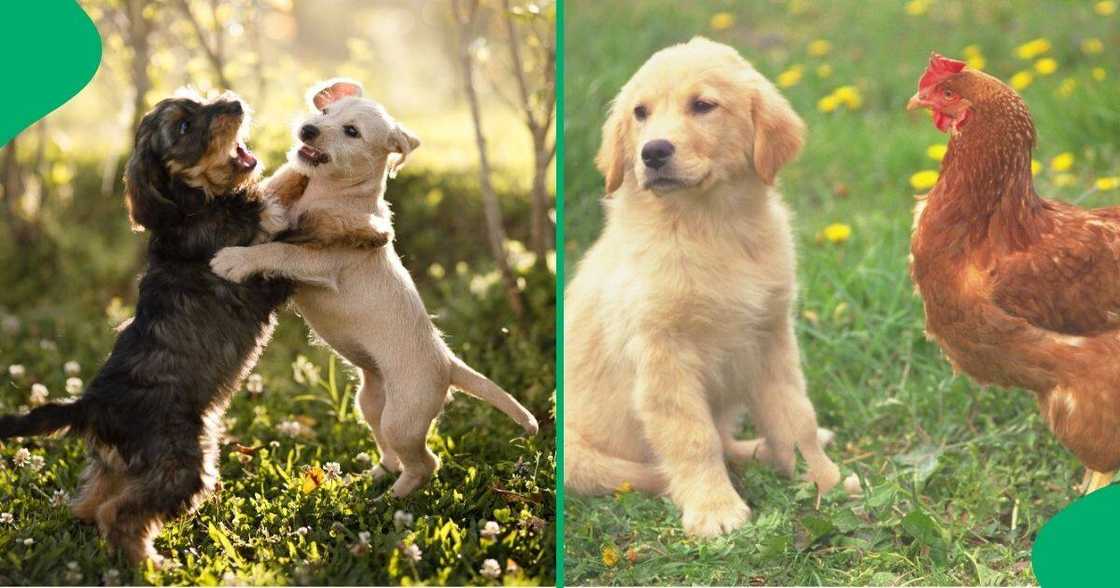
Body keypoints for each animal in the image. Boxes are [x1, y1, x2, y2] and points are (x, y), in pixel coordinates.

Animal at [0, 91, 304, 564]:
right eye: (183, 127)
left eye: (202, 100)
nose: (234, 102)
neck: (195, 204)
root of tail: (91, 404)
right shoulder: (255, 269)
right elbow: (286, 235)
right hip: (181, 461)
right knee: (119, 514)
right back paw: (150, 563)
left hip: (121, 463)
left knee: (92, 501)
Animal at [215, 80, 542, 497]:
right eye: (325, 114)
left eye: (352, 132)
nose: (308, 129)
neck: (329, 192)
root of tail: (448, 363)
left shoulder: (320, 262)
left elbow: (279, 249)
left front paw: (233, 260)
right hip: (371, 401)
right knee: (390, 450)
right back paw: (373, 477)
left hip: (403, 419)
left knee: (425, 464)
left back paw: (390, 498)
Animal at [568, 37, 842, 535]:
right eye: (640, 113)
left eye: (703, 105)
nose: (653, 152)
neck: (709, 226)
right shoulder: (663, 357)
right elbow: (693, 438)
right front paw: (715, 509)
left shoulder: (769, 336)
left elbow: (796, 416)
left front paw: (823, 480)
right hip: (591, 462)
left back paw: (763, 451)